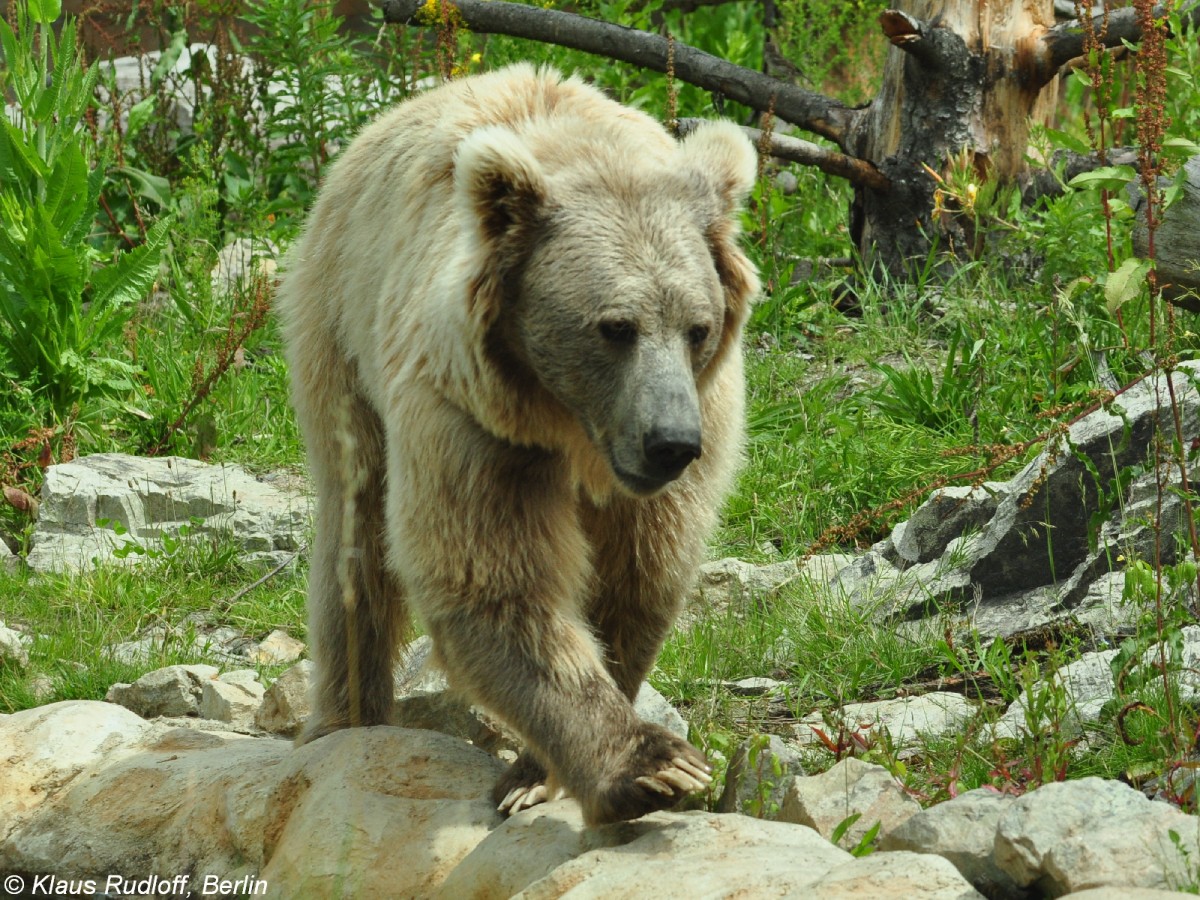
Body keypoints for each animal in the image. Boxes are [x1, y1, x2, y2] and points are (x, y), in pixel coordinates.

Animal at [276, 61, 753, 825]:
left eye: (698, 327)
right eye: (614, 326)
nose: (672, 444)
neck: (571, 425)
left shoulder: (698, 415)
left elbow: (636, 582)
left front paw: (538, 771)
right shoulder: (468, 417)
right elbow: (494, 582)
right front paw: (652, 766)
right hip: (340, 331)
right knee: (355, 541)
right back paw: (345, 717)